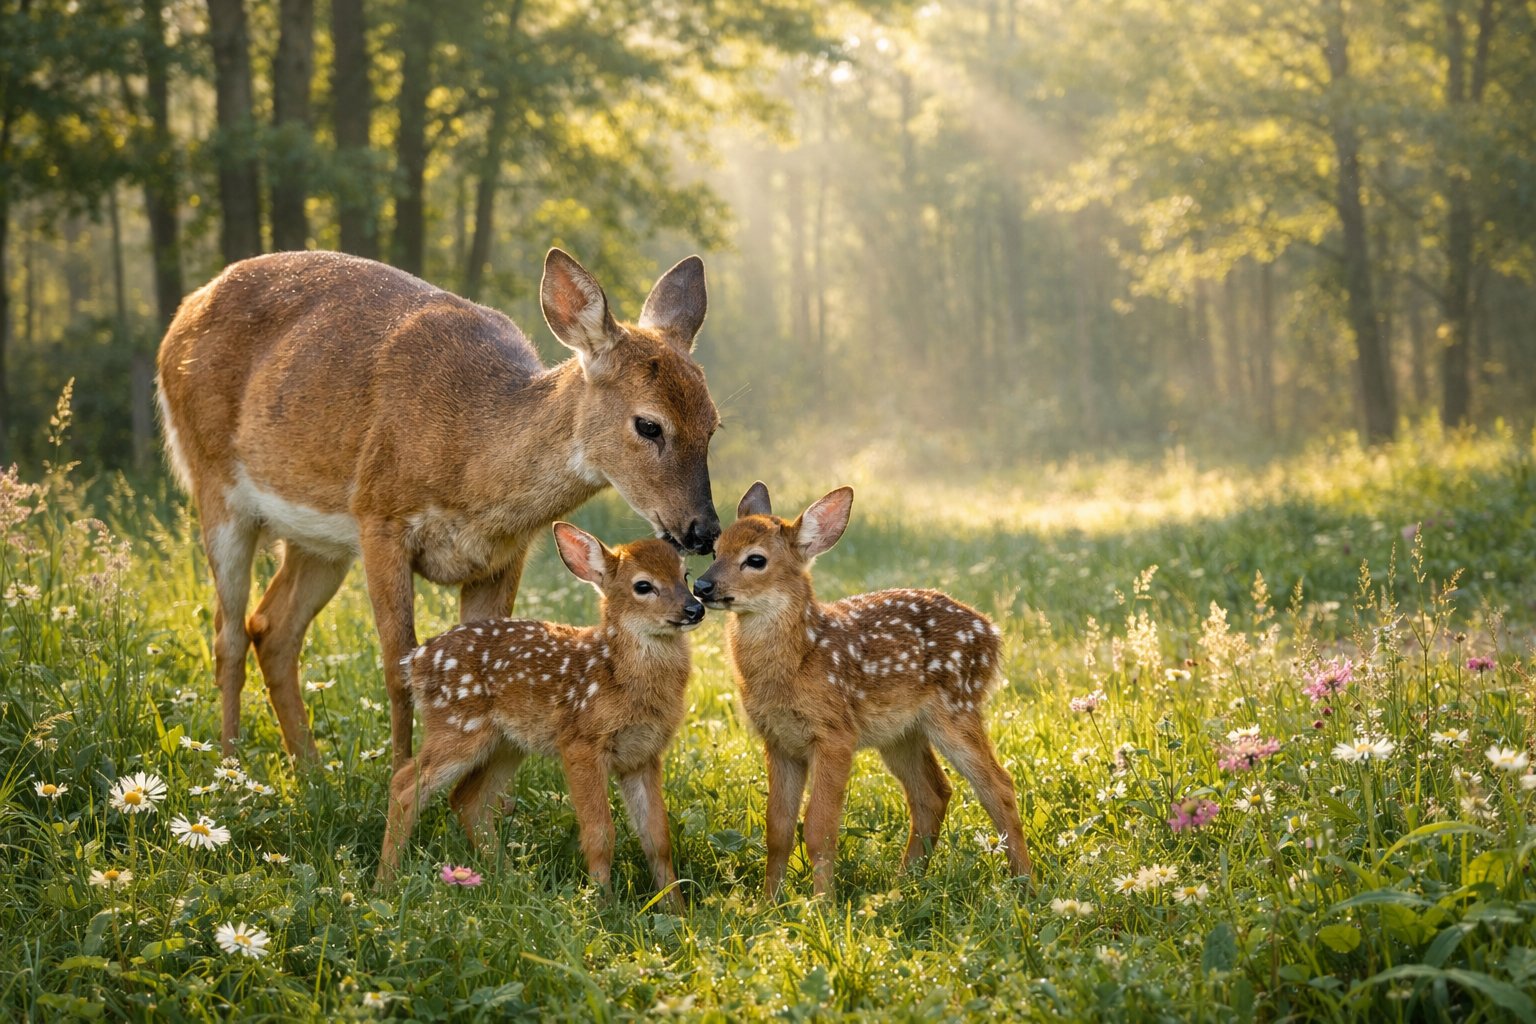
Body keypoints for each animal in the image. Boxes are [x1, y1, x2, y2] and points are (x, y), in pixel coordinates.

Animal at [155, 248, 721, 772]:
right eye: (648, 424)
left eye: (713, 423)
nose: (704, 529)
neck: (472, 464)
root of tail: (183, 314)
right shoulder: (380, 515)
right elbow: (397, 667)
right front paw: (401, 774)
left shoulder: (503, 555)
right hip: (214, 481)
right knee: (228, 634)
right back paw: (231, 764)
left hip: (316, 540)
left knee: (271, 628)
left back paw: (311, 768)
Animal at [376, 523, 703, 904]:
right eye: (643, 586)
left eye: (685, 575)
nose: (695, 608)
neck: (617, 675)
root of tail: (415, 661)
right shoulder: (581, 743)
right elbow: (600, 835)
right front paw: (602, 905)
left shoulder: (643, 754)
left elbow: (658, 839)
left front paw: (675, 909)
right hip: (458, 726)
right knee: (404, 785)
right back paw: (385, 884)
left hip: (508, 744)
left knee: (468, 800)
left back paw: (511, 880)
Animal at [692, 482, 1032, 900]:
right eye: (715, 550)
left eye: (756, 559)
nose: (701, 586)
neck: (801, 659)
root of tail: (992, 632)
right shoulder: (779, 741)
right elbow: (778, 829)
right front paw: (768, 903)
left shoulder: (835, 733)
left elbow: (819, 827)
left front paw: (822, 904)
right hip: (901, 733)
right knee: (933, 793)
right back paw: (903, 885)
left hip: (958, 706)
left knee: (998, 786)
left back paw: (1027, 885)